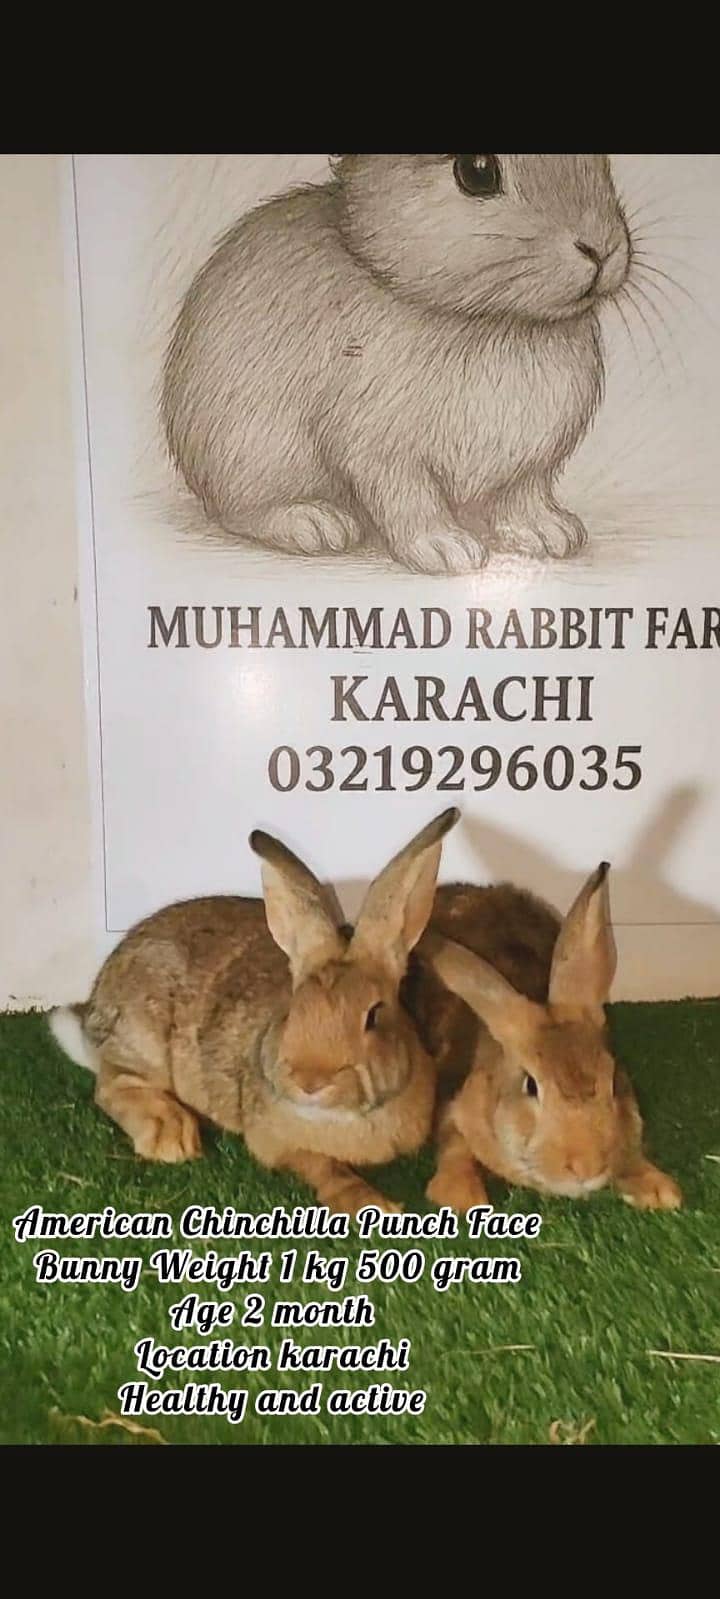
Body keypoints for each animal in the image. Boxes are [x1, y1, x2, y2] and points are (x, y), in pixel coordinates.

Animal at [47, 808, 459, 1215]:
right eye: (292, 1010)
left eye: (373, 1015)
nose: (310, 1081)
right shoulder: (276, 1143)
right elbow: (323, 1166)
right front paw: (371, 1205)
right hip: (143, 1040)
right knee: (112, 1083)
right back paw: (171, 1134)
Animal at [161, 154, 633, 575]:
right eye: (477, 171)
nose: (601, 248)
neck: (494, 319)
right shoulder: (381, 450)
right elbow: (409, 500)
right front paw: (445, 549)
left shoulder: (531, 463)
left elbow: (522, 496)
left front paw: (549, 532)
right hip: (252, 451)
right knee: (237, 510)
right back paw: (313, 522)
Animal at [403, 862, 682, 1211]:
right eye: (531, 1086)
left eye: (613, 1081)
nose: (586, 1166)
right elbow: (455, 1147)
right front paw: (461, 1196)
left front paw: (659, 1191)